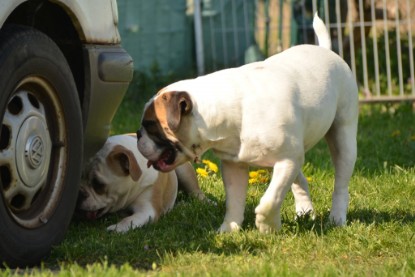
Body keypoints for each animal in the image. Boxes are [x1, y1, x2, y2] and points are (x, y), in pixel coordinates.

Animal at [77, 133, 206, 232]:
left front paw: (116, 228)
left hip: (183, 171)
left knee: (196, 192)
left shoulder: (147, 210)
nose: (79, 194)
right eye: (79, 177)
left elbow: (128, 220)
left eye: (98, 184)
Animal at [138, 14, 360, 232]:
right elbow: (234, 201)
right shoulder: (234, 167)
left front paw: (267, 225)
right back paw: (305, 212)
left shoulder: (287, 160)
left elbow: (272, 198)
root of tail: (326, 50)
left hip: (342, 140)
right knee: (300, 181)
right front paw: (229, 228)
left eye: (150, 124)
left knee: (340, 183)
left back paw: (337, 218)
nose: (138, 134)